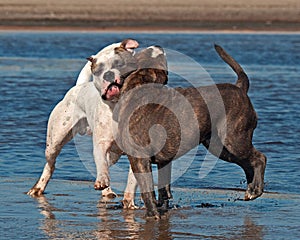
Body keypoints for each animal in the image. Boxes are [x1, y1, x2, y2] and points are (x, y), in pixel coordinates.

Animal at [109, 44, 266, 218]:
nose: (158, 46)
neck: (137, 87)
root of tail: (240, 88)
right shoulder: (164, 161)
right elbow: (163, 189)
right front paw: (162, 209)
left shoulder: (139, 158)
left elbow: (148, 190)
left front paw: (153, 214)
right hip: (220, 147)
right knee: (248, 164)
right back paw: (251, 188)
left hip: (234, 140)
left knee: (259, 158)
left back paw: (254, 190)